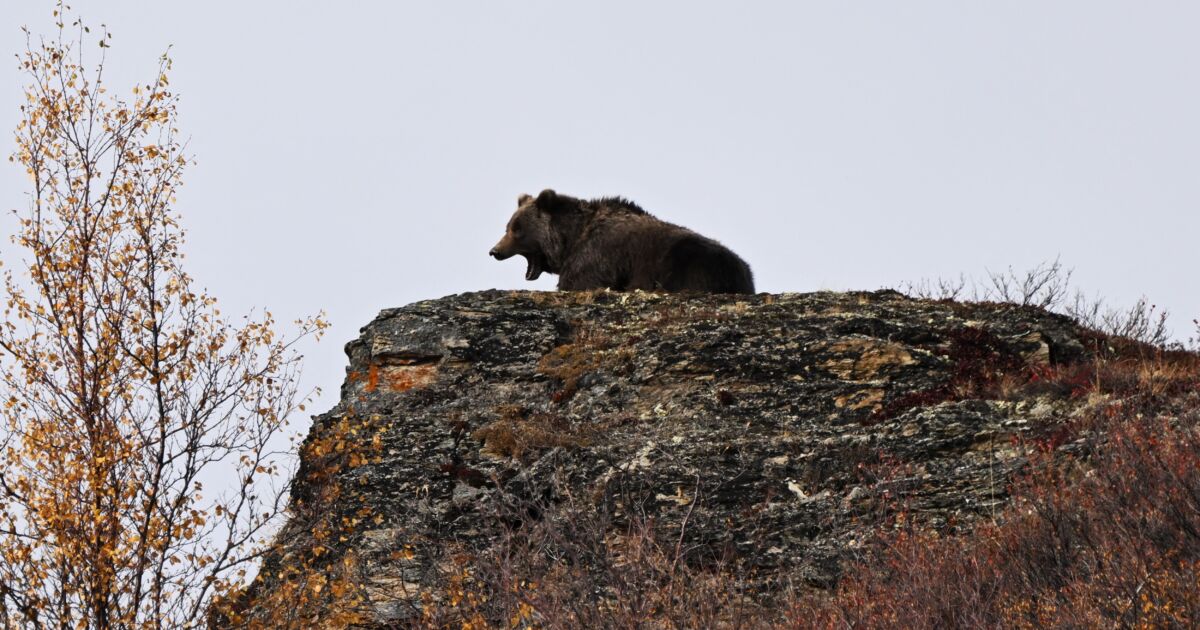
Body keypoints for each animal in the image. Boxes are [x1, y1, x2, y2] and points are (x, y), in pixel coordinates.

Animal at [484, 188, 748, 294]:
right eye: (508, 226)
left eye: (517, 229)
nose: (494, 251)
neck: (571, 239)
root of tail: (745, 272)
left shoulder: (595, 257)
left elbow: (578, 282)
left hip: (686, 261)